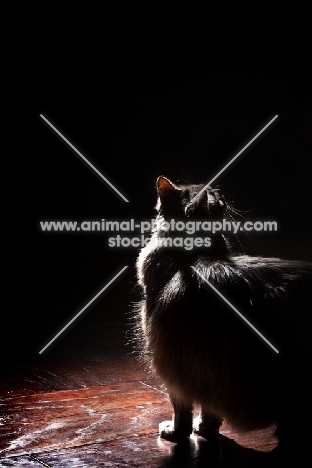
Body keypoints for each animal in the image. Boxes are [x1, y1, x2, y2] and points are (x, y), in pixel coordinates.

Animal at [135, 176, 312, 454]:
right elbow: (210, 410)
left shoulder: (170, 359)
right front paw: (205, 430)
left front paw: (176, 433)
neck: (193, 255)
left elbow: (182, 409)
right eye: (215, 193)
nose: (221, 191)